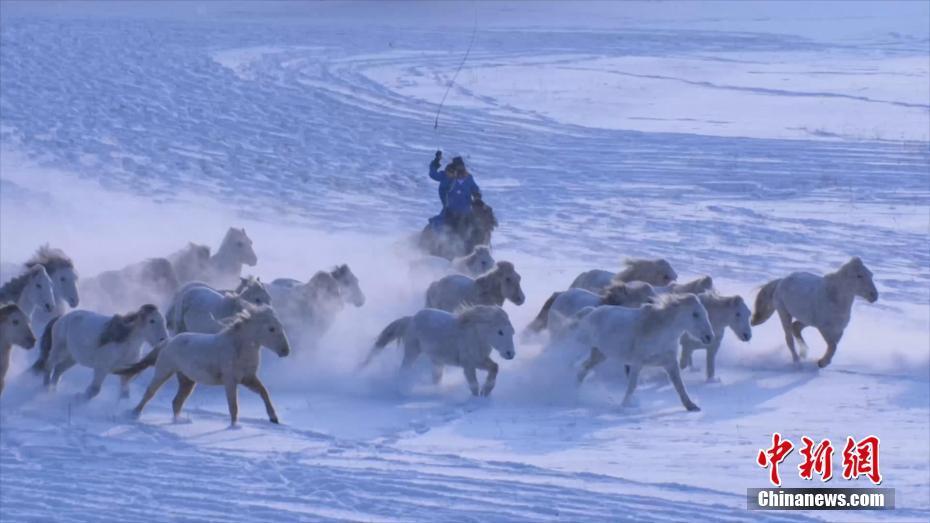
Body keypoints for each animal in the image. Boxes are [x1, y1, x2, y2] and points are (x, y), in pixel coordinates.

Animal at [36, 302, 168, 402]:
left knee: (58, 370)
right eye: (152, 321)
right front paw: (78, 398)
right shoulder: (101, 368)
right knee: (49, 366)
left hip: (72, 358)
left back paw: (53, 390)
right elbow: (95, 390)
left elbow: (125, 394)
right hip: (58, 351)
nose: (163, 339)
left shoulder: (125, 373)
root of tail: (61, 318)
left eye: (164, 321)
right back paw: (46, 388)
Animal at [125, 308, 288, 426]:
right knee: (150, 393)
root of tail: (168, 342)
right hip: (163, 371)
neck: (237, 347)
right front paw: (234, 427)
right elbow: (233, 405)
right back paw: (134, 414)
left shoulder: (248, 379)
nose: (286, 351)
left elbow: (263, 392)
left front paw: (274, 418)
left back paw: (178, 422)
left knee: (177, 402)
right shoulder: (230, 381)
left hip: (187, 381)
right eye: (271, 329)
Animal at [360, 308, 516, 398]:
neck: (475, 336)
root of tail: (411, 319)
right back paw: (403, 390)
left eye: (512, 332)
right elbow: (473, 385)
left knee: (435, 378)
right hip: (412, 350)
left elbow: (494, 367)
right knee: (404, 370)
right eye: (500, 332)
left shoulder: (480, 360)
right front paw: (477, 399)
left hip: (436, 360)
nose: (510, 354)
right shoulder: (468, 364)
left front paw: (487, 391)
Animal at [568, 292, 716, 412]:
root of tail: (589, 312)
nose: (709, 337)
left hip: (600, 354)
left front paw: (691, 406)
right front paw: (625, 405)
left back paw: (574, 392)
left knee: (583, 369)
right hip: (580, 346)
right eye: (695, 314)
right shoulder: (637, 363)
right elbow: (632, 385)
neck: (660, 332)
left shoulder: (670, 363)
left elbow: (680, 386)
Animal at [748, 258, 876, 368]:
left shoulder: (839, 330)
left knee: (796, 327)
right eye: (859, 276)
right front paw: (821, 362)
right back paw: (797, 362)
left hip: (806, 320)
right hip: (784, 312)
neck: (832, 298)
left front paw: (822, 362)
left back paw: (803, 354)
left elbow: (833, 346)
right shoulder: (824, 329)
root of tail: (782, 281)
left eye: (871, 274)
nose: (874, 295)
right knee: (789, 338)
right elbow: (833, 346)